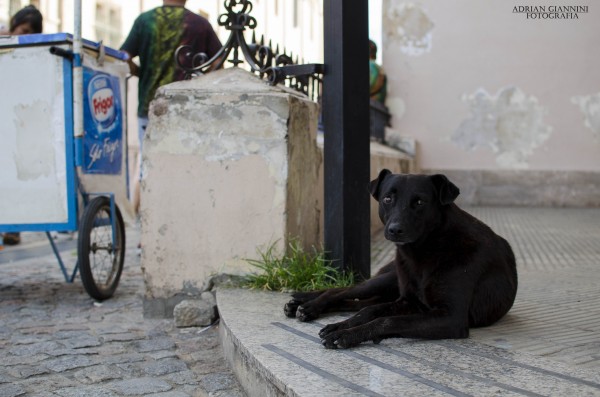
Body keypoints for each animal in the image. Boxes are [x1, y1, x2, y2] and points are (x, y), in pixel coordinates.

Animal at [284, 169, 516, 348]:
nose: (395, 230)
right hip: (386, 280)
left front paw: (345, 333)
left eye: (420, 202)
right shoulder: (408, 301)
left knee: (356, 301)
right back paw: (306, 304)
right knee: (341, 292)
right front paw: (341, 326)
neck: (425, 251)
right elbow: (370, 312)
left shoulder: (450, 317)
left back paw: (302, 305)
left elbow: (386, 320)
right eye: (388, 198)